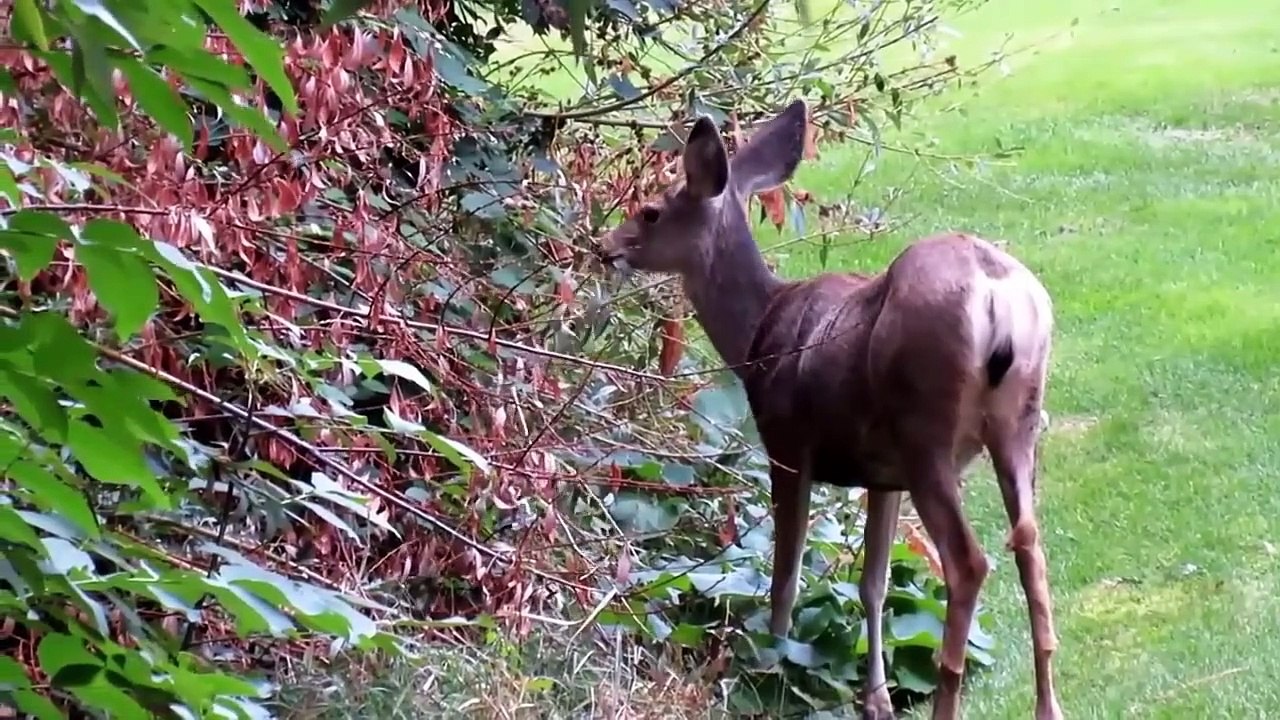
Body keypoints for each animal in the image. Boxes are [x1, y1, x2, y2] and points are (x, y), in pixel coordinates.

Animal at [598, 99, 1062, 720]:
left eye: (650, 212)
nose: (605, 246)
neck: (755, 335)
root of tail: (998, 296)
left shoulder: (788, 445)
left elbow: (786, 574)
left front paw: (770, 668)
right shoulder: (883, 476)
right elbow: (873, 583)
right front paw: (876, 698)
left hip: (927, 431)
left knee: (970, 562)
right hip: (1018, 423)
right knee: (1031, 549)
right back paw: (1049, 706)